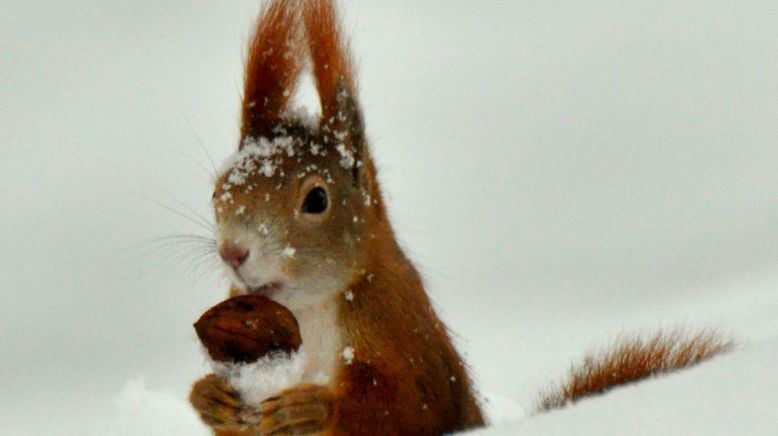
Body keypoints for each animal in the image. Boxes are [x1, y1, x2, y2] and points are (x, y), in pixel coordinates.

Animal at [189, 1, 732, 434]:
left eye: (317, 199)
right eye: (216, 189)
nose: (233, 252)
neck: (309, 309)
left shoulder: (401, 333)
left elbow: (405, 409)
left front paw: (313, 409)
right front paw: (208, 397)